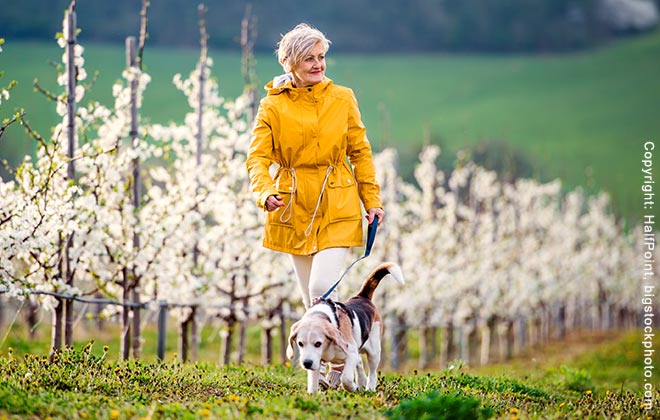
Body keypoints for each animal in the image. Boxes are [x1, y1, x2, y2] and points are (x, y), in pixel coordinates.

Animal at [288, 262, 404, 394]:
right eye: (300, 344)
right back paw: (362, 381)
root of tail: (362, 297)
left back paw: (369, 388)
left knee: (372, 373)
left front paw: (352, 387)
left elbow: (346, 378)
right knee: (360, 363)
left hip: (374, 353)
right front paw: (313, 394)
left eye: (318, 343)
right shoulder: (316, 360)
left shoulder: (351, 353)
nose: (307, 363)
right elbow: (313, 382)